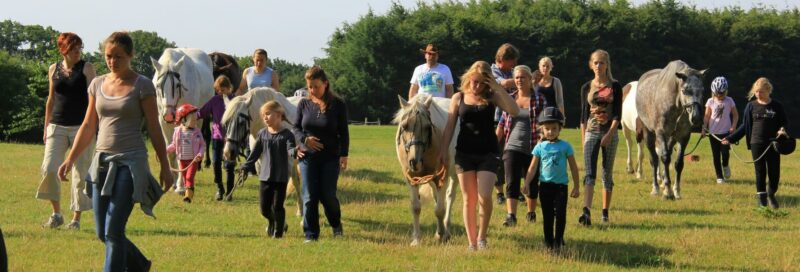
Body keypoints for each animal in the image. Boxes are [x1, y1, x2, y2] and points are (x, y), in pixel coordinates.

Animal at [152, 48, 216, 193]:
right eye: (158, 86)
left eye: (177, 85)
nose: (169, 115)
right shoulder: (163, 123)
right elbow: (171, 152)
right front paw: (173, 183)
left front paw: (180, 186)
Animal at [394, 94, 456, 246]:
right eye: (404, 126)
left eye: (428, 127)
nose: (414, 161)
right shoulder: (412, 179)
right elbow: (416, 207)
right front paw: (417, 239)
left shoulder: (441, 178)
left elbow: (439, 209)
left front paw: (441, 235)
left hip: (454, 174)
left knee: (449, 197)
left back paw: (446, 230)